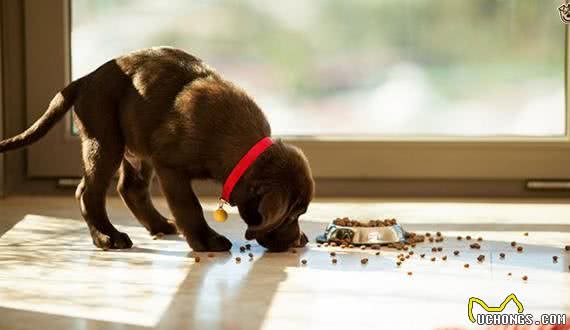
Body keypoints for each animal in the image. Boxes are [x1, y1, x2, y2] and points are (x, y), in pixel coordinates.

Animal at [0, 46, 312, 251]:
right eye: (291, 215)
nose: (296, 242)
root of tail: (83, 80)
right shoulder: (171, 166)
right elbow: (189, 206)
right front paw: (206, 240)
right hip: (106, 141)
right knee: (88, 192)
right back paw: (107, 237)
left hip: (136, 148)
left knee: (130, 188)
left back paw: (159, 225)